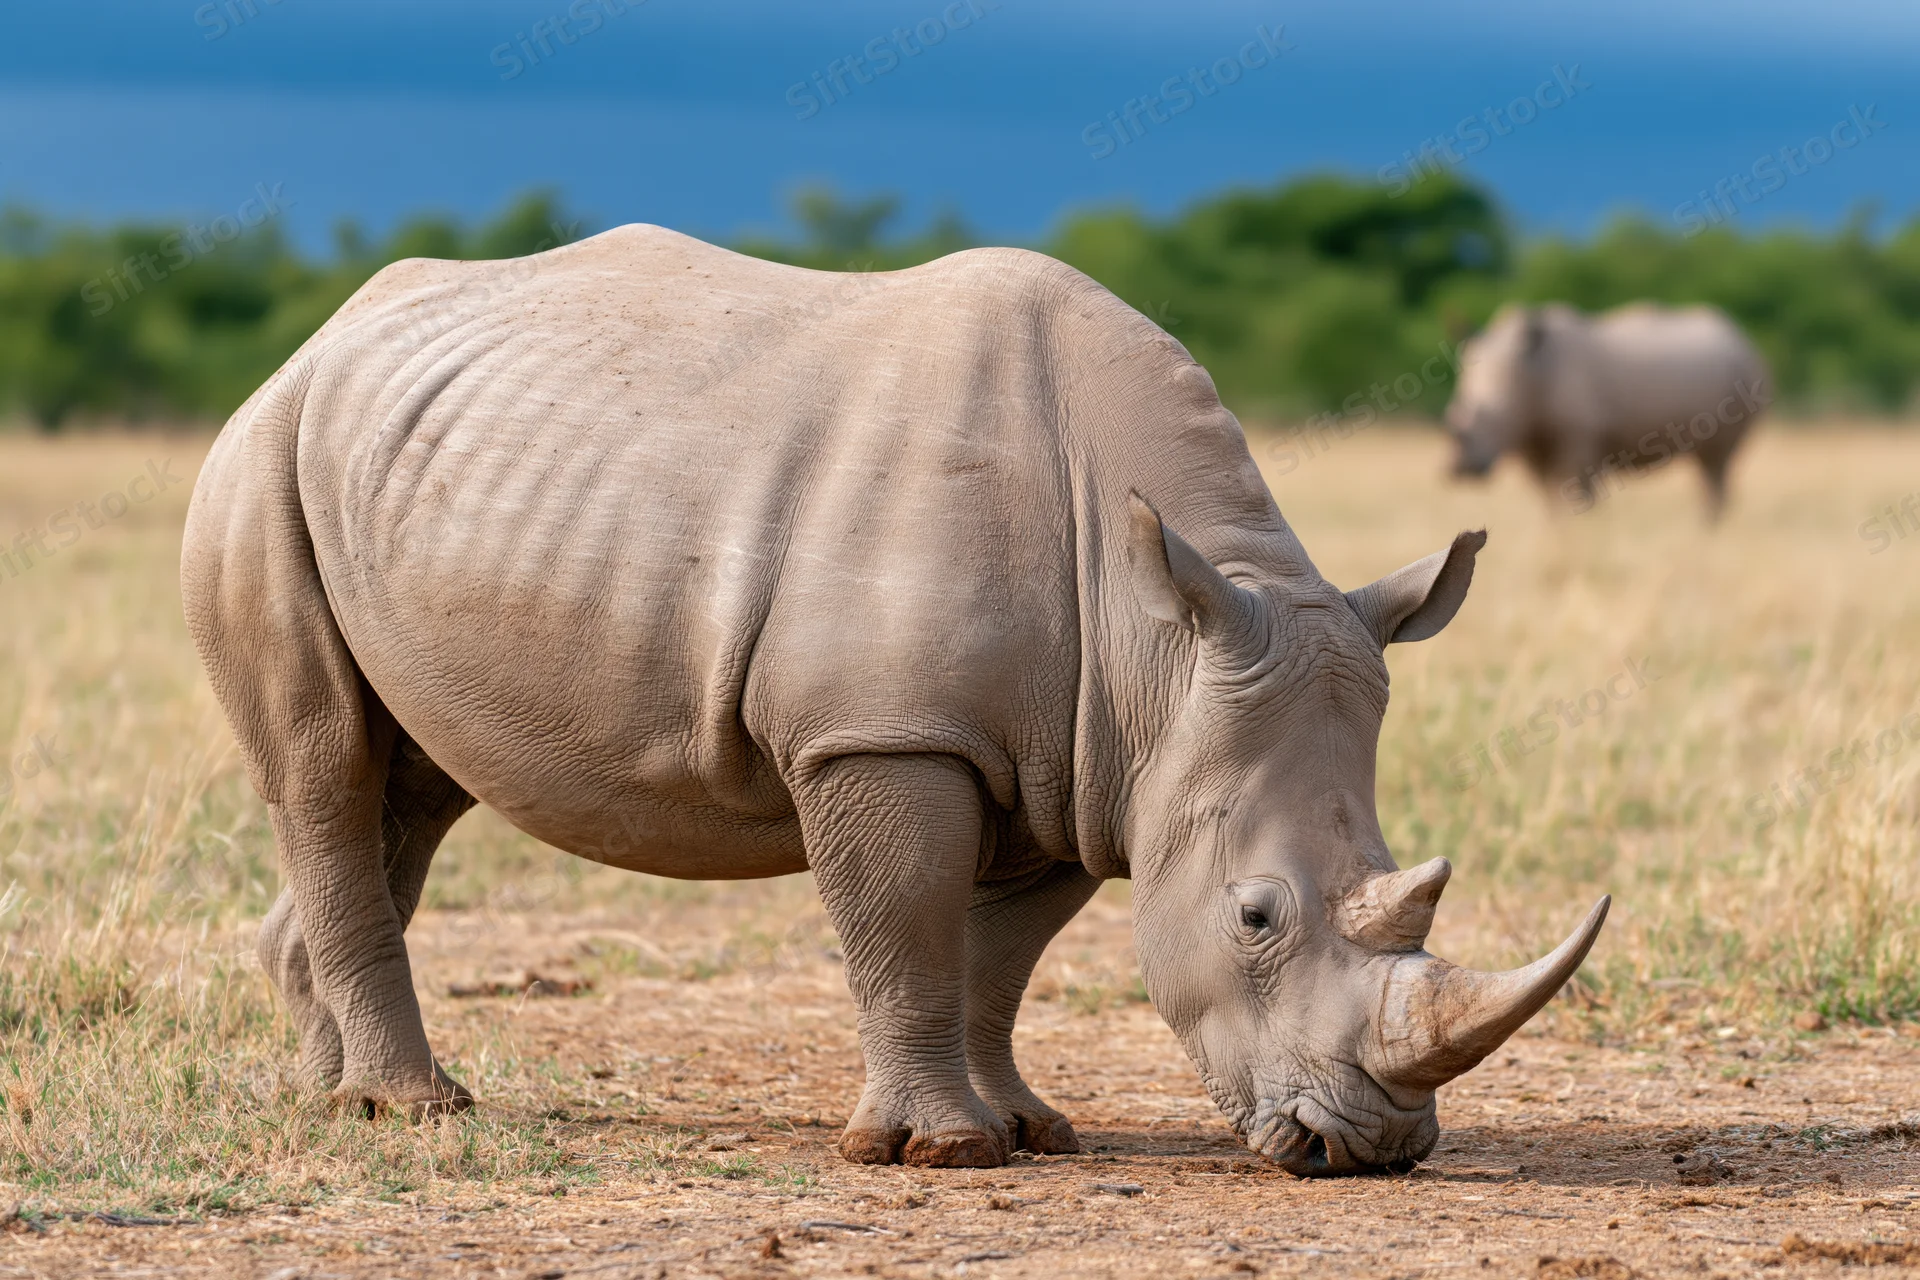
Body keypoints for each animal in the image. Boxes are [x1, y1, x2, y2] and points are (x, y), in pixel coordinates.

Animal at [182, 226, 1607, 1176]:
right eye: (1257, 915)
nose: (1372, 1143)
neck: (1164, 637)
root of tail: (314, 342)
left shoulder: (1088, 763)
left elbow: (997, 955)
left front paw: (1027, 1127)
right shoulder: (885, 733)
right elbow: (906, 924)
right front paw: (939, 1151)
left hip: (406, 472)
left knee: (416, 786)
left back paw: (330, 1090)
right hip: (257, 458)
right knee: (325, 762)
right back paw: (408, 1110)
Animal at [1445, 302, 1769, 516]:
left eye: (1494, 418)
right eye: (1452, 410)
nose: (1461, 469)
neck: (1533, 372)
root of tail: (1742, 337)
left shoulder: (1580, 435)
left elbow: (1575, 491)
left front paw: (1584, 529)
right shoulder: (1532, 438)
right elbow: (1550, 496)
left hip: (1745, 378)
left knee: (1717, 462)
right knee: (1710, 465)